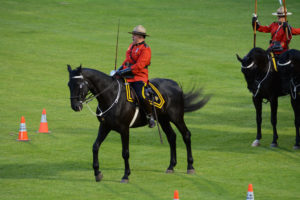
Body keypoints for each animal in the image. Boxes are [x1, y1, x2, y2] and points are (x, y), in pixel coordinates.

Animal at [67, 65, 210, 182]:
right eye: (69, 84)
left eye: (80, 85)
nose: (75, 106)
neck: (111, 96)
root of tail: (175, 85)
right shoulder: (105, 126)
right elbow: (95, 147)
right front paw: (97, 173)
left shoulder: (124, 129)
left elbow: (125, 152)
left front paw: (126, 175)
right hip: (163, 119)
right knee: (171, 137)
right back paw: (171, 166)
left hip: (176, 117)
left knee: (186, 135)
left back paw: (190, 166)